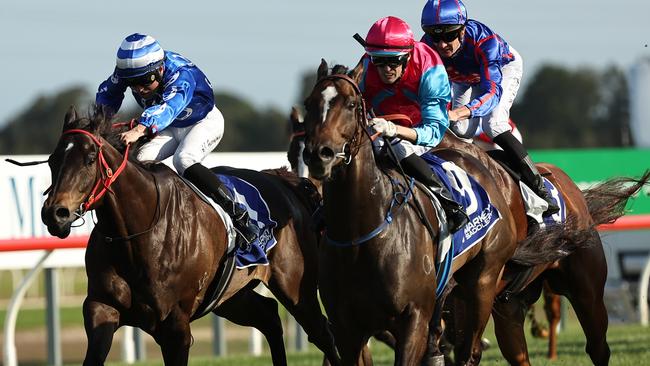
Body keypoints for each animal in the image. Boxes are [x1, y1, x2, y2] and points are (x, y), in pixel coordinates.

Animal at [39, 106, 340, 366]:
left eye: (90, 160)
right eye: (52, 161)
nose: (55, 214)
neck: (136, 234)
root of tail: (285, 181)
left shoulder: (176, 328)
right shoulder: (101, 308)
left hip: (296, 288)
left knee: (324, 332)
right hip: (230, 297)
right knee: (269, 316)